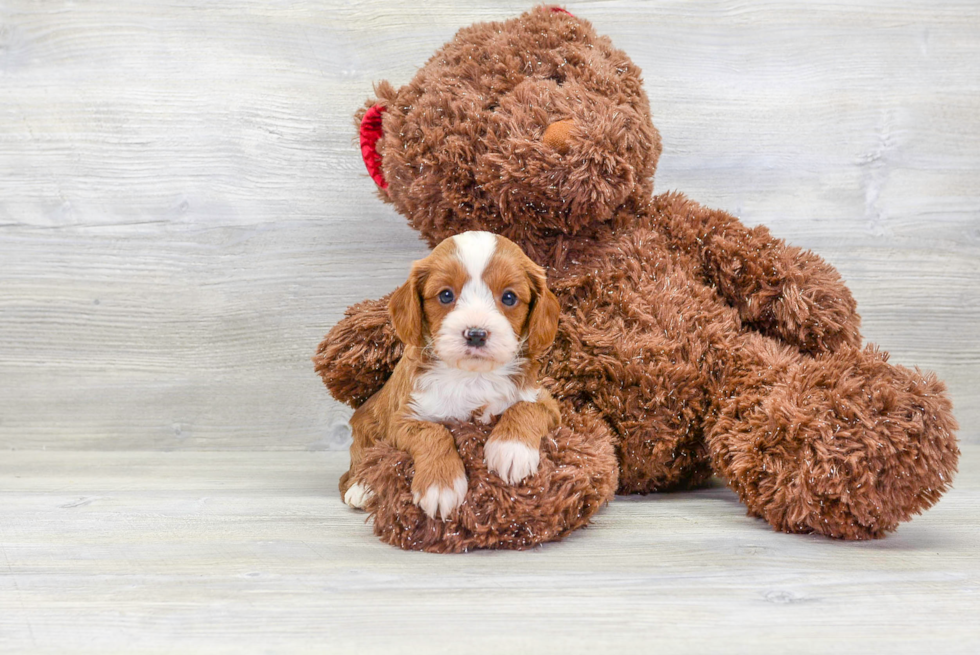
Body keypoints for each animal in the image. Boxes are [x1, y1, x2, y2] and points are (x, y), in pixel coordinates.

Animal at [342, 233, 560, 520]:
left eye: (509, 297)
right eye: (446, 295)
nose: (476, 334)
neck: (472, 376)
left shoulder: (546, 401)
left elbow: (526, 408)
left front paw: (511, 449)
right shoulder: (402, 418)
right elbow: (433, 431)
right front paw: (440, 484)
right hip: (365, 426)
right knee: (358, 462)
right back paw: (361, 489)